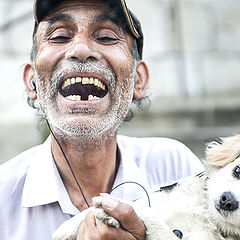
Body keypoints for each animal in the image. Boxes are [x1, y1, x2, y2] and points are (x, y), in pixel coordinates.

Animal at [53, 136, 240, 239]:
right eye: (237, 170)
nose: (228, 200)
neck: (204, 210)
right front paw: (64, 229)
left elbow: (146, 213)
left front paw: (123, 211)